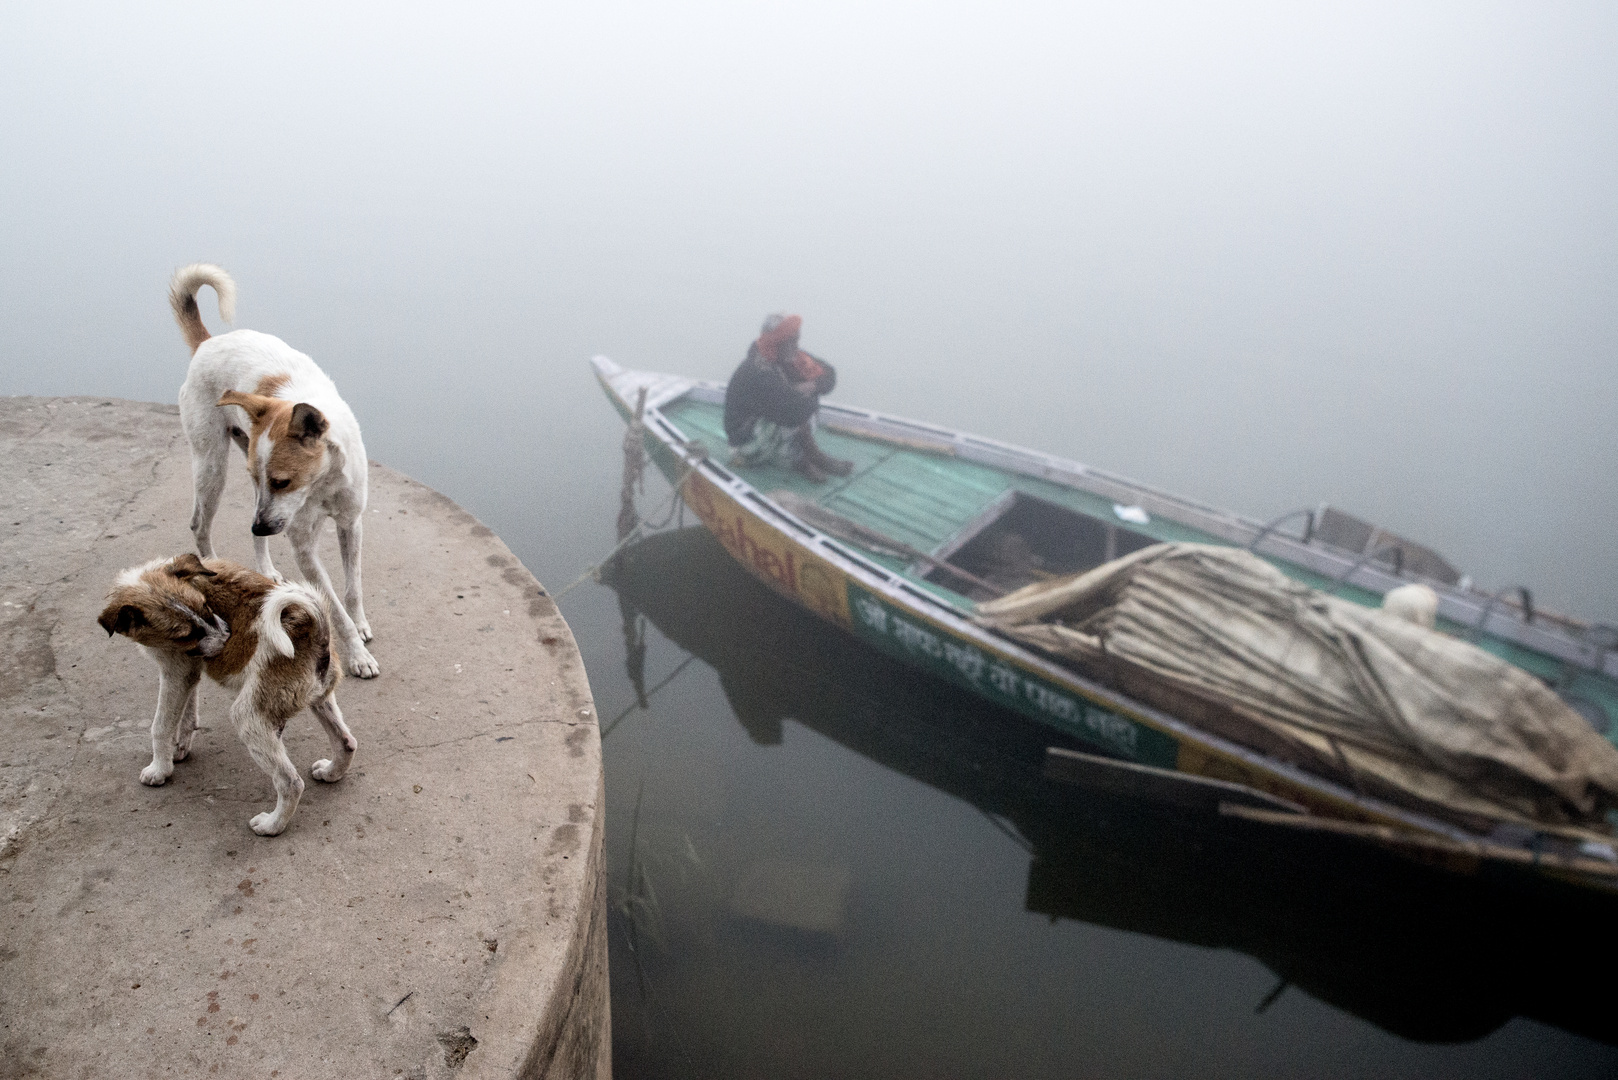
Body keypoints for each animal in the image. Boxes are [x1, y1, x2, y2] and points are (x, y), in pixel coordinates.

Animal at [100, 553, 357, 841]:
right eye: (186, 634)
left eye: (205, 606)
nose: (227, 638)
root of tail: (314, 627)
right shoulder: (189, 673)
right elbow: (187, 716)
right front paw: (178, 750)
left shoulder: (175, 672)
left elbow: (161, 726)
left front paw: (159, 769)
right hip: (319, 700)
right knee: (347, 742)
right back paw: (331, 772)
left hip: (249, 717)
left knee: (290, 783)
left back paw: (272, 825)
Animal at [168, 263, 378, 676]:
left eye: (283, 482)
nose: (261, 526)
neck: (321, 484)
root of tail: (206, 343)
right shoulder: (303, 546)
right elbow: (334, 607)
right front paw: (357, 655)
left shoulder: (350, 523)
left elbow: (352, 588)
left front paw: (361, 625)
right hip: (213, 467)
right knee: (200, 525)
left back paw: (264, 567)